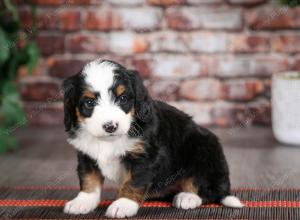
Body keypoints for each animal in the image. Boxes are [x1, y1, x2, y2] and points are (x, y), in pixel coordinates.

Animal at [62, 59, 243, 217]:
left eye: (122, 98)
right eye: (89, 102)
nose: (110, 126)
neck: (110, 140)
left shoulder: (145, 156)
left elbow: (133, 182)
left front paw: (123, 204)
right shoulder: (86, 154)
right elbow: (89, 179)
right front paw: (83, 202)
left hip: (203, 151)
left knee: (206, 188)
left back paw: (187, 197)